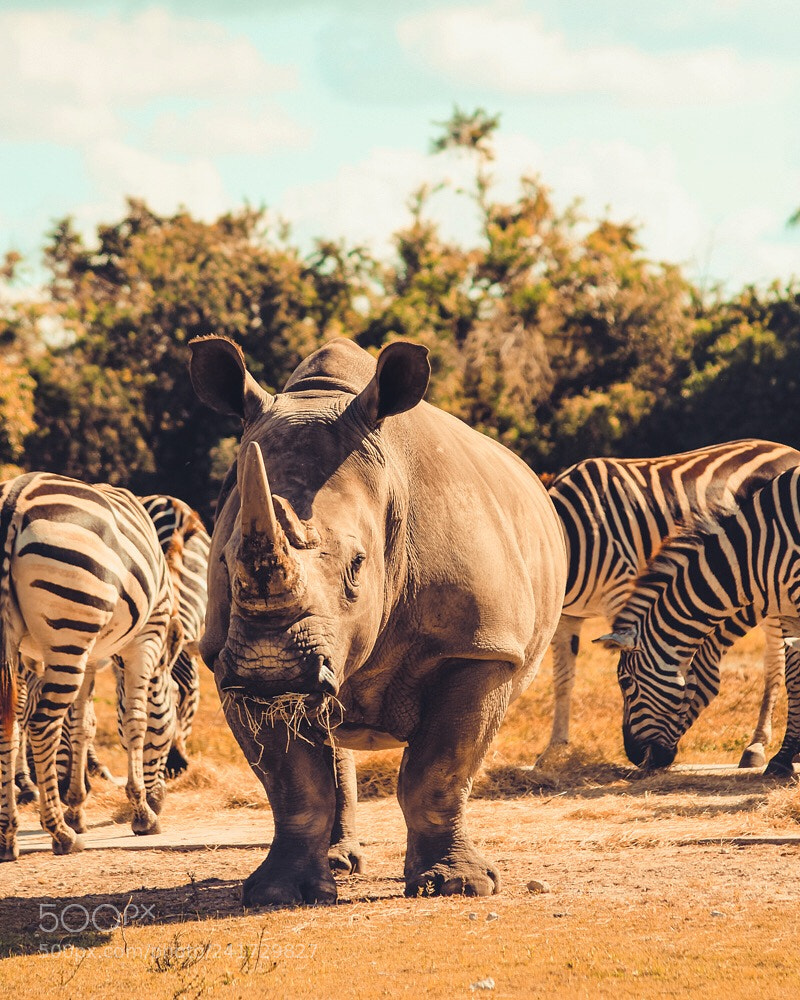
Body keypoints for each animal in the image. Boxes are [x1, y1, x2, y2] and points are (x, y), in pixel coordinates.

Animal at [0, 472, 183, 860]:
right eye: (172, 718)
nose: (161, 799)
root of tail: (15, 496)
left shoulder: (88, 659)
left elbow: (82, 726)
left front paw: (76, 808)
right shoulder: (145, 639)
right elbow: (134, 721)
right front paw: (143, 814)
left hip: (52, 642)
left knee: (9, 725)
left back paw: (8, 837)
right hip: (69, 632)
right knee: (41, 726)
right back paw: (61, 835)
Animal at [190, 335, 566, 905]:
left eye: (357, 565)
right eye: (225, 562)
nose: (270, 668)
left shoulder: (479, 646)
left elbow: (438, 771)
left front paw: (456, 886)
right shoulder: (226, 660)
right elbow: (294, 786)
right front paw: (280, 894)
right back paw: (340, 866)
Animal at [547, 439, 800, 767]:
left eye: (626, 683)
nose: (637, 756)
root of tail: (787, 449)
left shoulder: (622, 588)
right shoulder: (566, 615)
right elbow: (563, 679)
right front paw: (553, 750)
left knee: (775, 662)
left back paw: (756, 746)